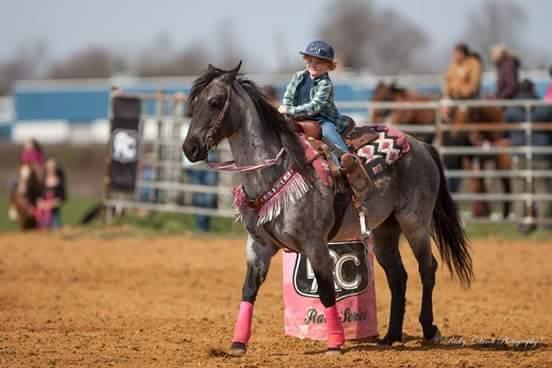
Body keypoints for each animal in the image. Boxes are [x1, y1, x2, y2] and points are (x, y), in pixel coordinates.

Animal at [183, 63, 472, 356]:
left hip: (415, 223)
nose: (190, 148)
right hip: (384, 230)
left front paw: (335, 344)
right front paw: (238, 343)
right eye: (193, 104)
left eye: (215, 102)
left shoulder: (315, 244)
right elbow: (249, 289)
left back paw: (429, 328)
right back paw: (391, 335)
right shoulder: (258, 246)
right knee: (397, 276)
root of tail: (421, 145)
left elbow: (326, 290)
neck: (279, 170)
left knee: (427, 267)